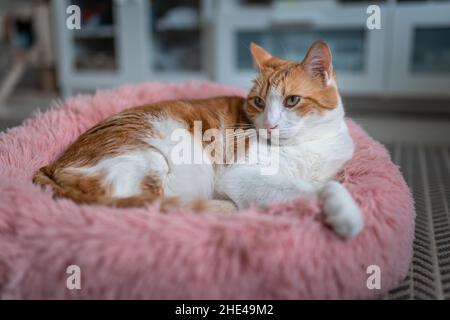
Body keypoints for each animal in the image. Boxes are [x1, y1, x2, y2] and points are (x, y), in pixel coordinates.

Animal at [32, 40, 362, 238]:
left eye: (292, 100)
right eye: (258, 102)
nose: (269, 125)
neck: (309, 146)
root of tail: (51, 167)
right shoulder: (241, 176)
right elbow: (318, 188)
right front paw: (345, 212)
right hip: (148, 161)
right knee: (153, 207)